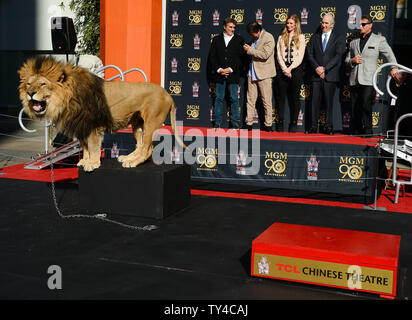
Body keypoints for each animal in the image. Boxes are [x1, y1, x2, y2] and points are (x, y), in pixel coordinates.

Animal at [17, 57, 185, 172]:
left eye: (42, 84)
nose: (30, 93)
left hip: (152, 122)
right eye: (28, 84)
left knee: (147, 148)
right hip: (138, 123)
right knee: (141, 145)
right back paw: (128, 157)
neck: (65, 99)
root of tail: (168, 94)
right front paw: (85, 161)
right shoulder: (81, 127)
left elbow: (93, 147)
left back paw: (133, 162)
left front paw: (93, 164)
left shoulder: (92, 126)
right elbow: (84, 147)